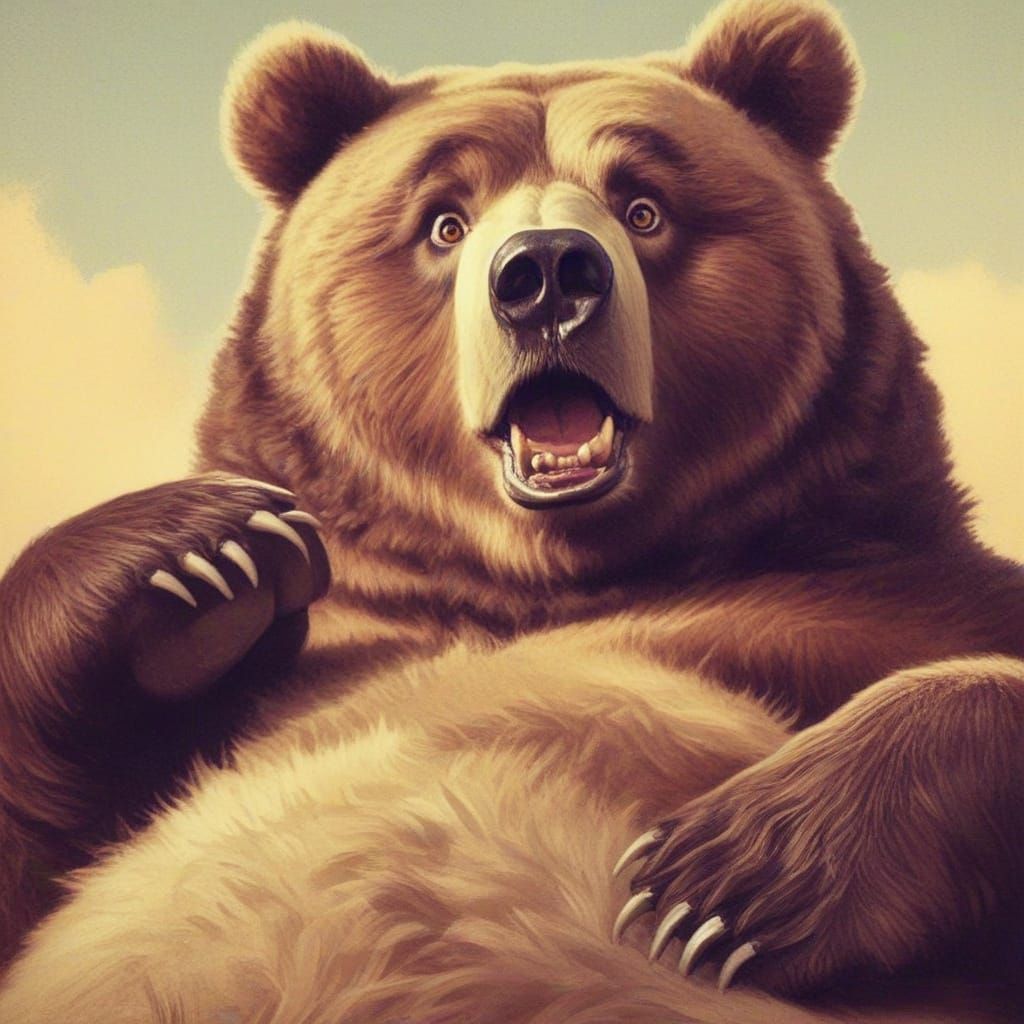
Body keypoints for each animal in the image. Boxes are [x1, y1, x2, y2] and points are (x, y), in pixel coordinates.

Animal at [0, 0, 1022, 1021]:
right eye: (445, 220)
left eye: (644, 205)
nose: (549, 274)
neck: (540, 579)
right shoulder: (300, 671)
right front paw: (202, 551)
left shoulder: (880, 595)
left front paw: (719, 885)